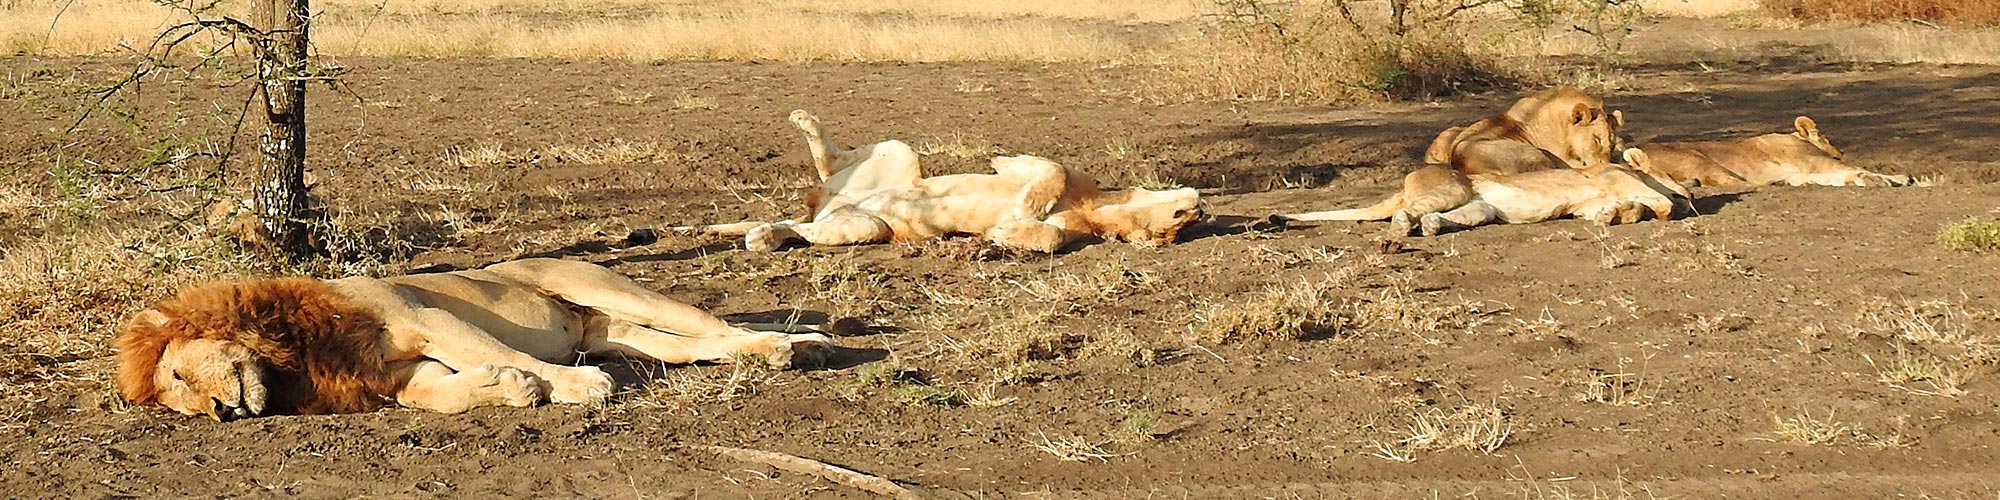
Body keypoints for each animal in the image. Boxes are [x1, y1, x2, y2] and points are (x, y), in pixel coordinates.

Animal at [672, 111, 1200, 252]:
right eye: (1179, 222)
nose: (1198, 209)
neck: (1098, 208)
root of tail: (826, 204)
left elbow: (1042, 236)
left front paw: (1013, 225)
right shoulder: (1064, 170)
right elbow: (1047, 169)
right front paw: (1003, 163)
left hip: (865, 227)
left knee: (798, 228)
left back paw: (764, 237)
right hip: (900, 153)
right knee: (826, 166)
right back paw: (803, 119)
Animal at [1632, 116, 1912, 188]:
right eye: (1826, 137)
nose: (1840, 151)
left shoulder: (1811, 171)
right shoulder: (1815, 163)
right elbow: (1856, 168)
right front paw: (1897, 178)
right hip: (1699, 159)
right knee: (1736, 184)